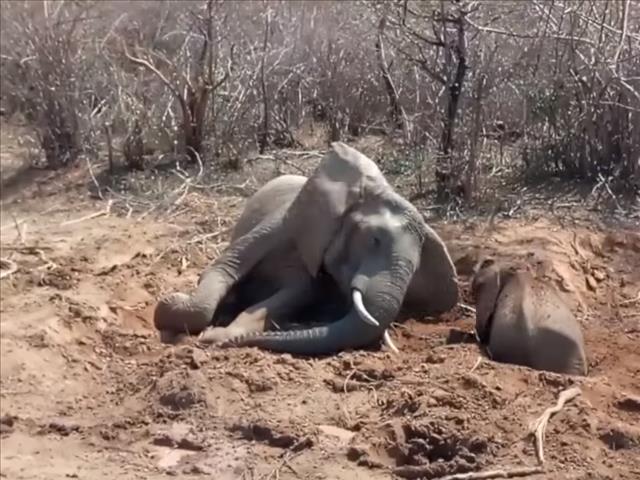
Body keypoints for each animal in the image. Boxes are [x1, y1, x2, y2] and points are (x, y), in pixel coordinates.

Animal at [153, 142, 459, 355]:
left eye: (417, 268)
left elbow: (291, 295)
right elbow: (221, 270)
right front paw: (173, 304)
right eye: (374, 239)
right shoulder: (284, 222)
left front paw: (218, 337)